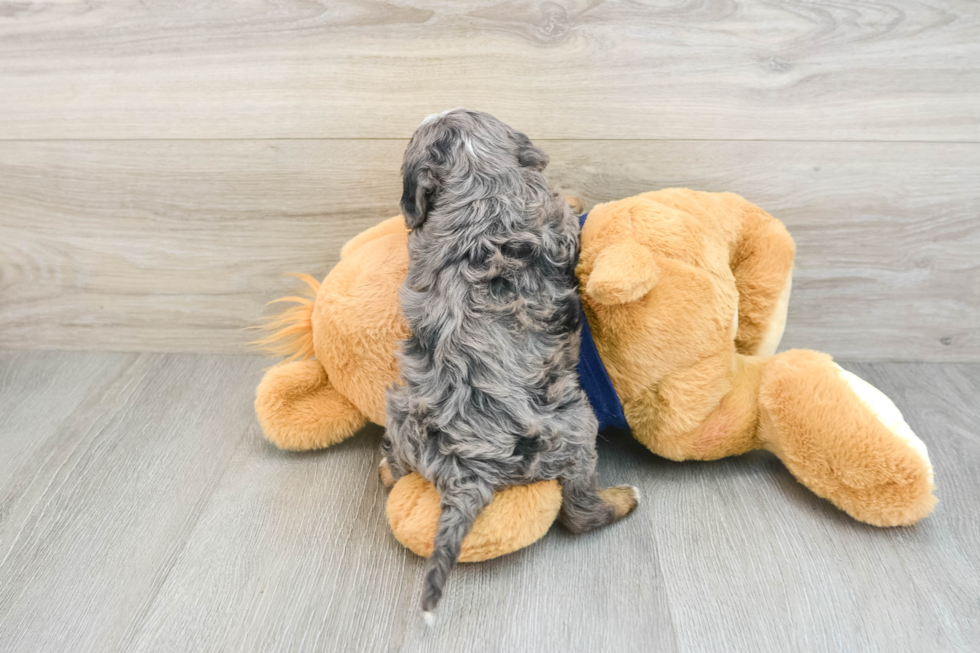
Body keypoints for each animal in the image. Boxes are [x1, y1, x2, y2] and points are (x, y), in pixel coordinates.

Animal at [378, 108, 640, 620]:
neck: (478, 180)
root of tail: (465, 473)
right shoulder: (554, 218)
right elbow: (564, 205)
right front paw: (576, 193)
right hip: (576, 431)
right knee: (578, 512)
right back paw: (622, 500)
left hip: (400, 413)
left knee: (396, 464)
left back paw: (383, 467)